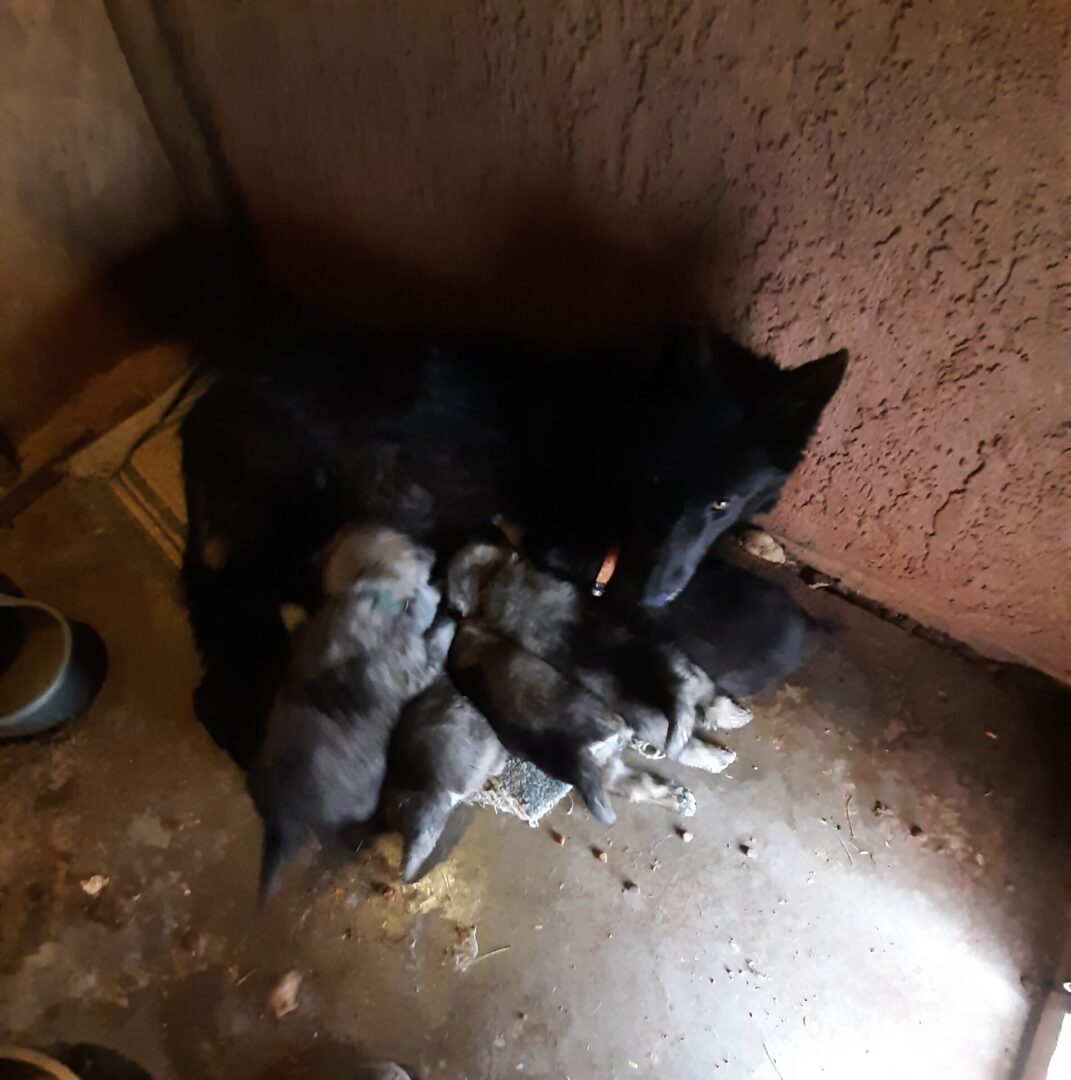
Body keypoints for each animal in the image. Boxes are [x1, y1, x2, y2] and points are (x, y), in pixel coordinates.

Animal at [249, 527, 453, 898]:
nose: (433, 556)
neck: (365, 591)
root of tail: (283, 823)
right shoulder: (416, 667)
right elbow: (433, 645)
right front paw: (444, 619)